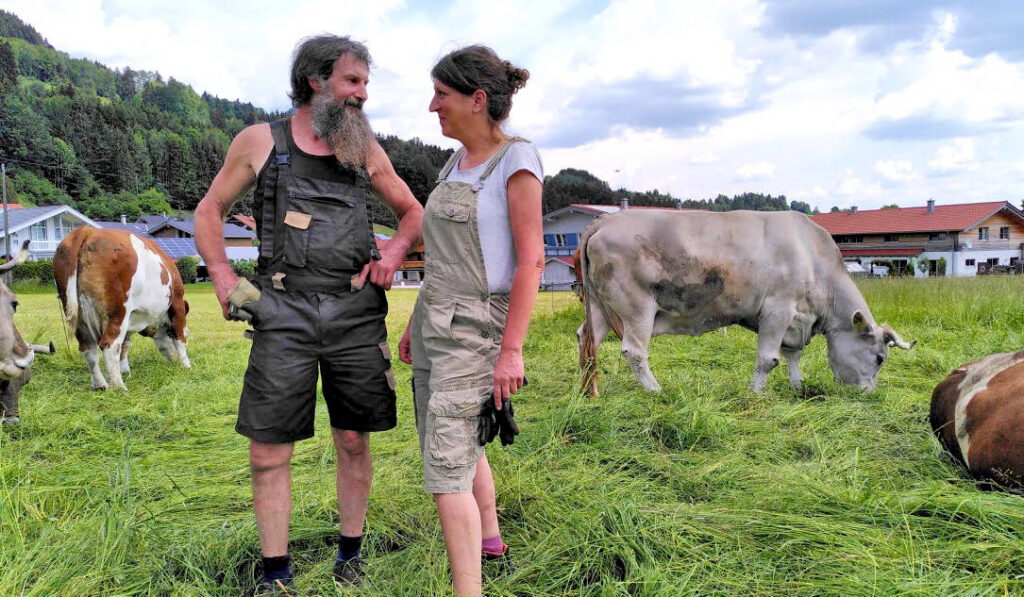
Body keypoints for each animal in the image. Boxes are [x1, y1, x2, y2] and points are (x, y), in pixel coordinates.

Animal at [53, 226, 190, 389]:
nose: (172, 363)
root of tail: (89, 230)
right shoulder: (177, 303)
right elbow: (180, 337)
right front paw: (187, 365)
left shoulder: (131, 318)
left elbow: (125, 345)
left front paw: (125, 371)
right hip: (117, 312)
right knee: (109, 345)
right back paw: (119, 387)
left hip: (77, 314)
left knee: (88, 349)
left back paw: (100, 385)